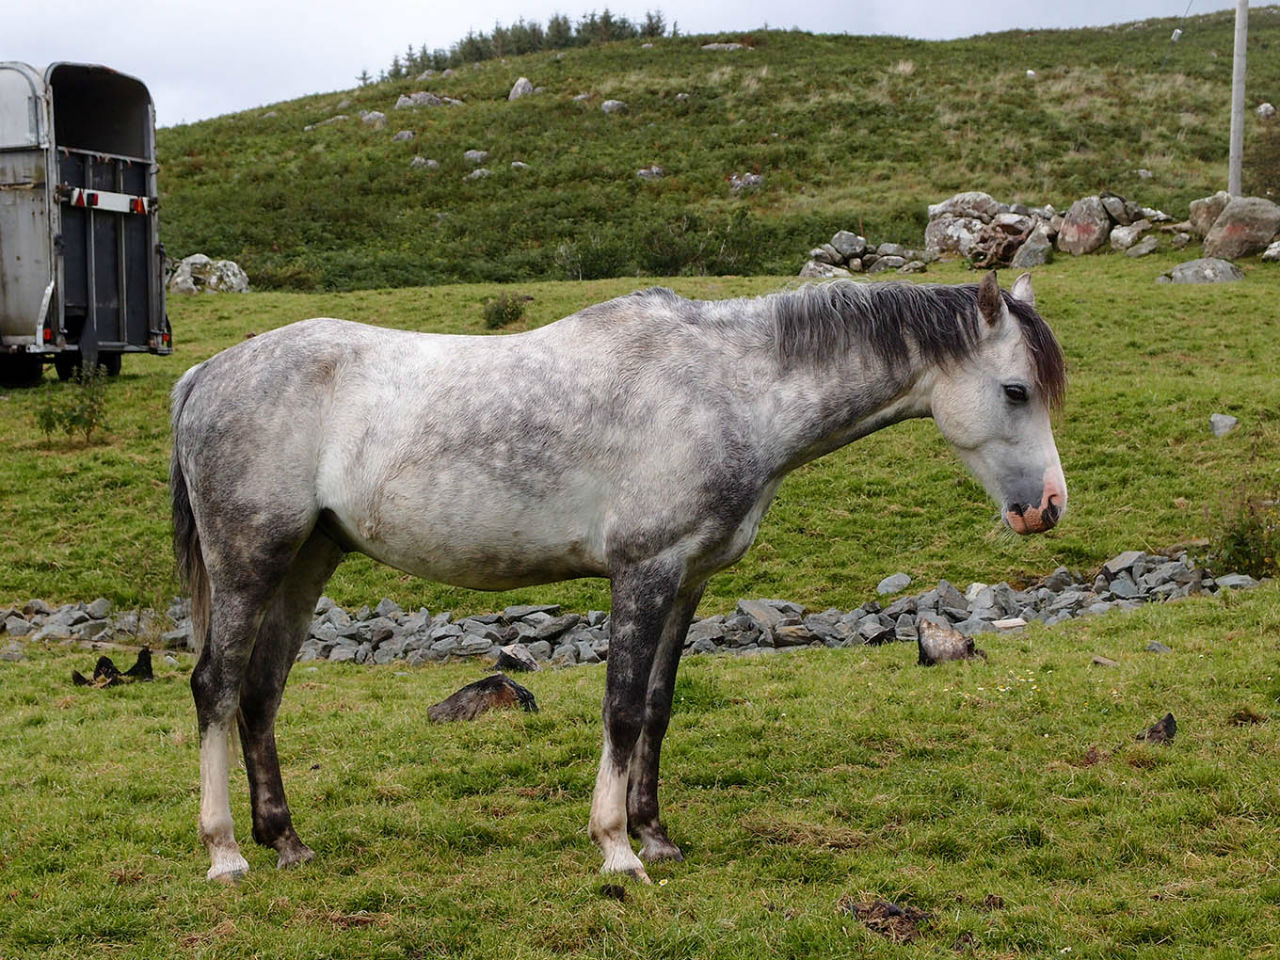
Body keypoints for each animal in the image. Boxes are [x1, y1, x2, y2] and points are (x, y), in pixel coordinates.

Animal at [172, 267, 1070, 885]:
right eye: (1014, 390)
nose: (1048, 508)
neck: (730, 387)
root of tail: (205, 375)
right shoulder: (643, 571)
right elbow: (622, 705)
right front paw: (615, 849)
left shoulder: (690, 579)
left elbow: (658, 708)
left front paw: (656, 834)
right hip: (250, 560)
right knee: (216, 687)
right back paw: (225, 855)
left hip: (307, 560)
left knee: (261, 693)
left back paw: (286, 841)